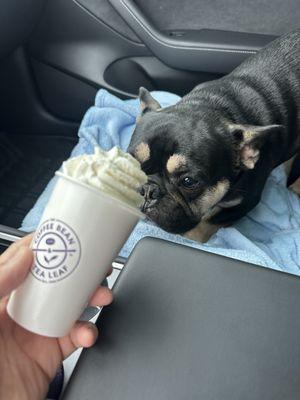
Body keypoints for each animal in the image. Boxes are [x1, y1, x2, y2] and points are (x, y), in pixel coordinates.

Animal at [127, 30, 300, 241]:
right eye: (129, 161)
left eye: (189, 182)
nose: (147, 189)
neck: (217, 106)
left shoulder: (242, 204)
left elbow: (204, 225)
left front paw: (190, 237)